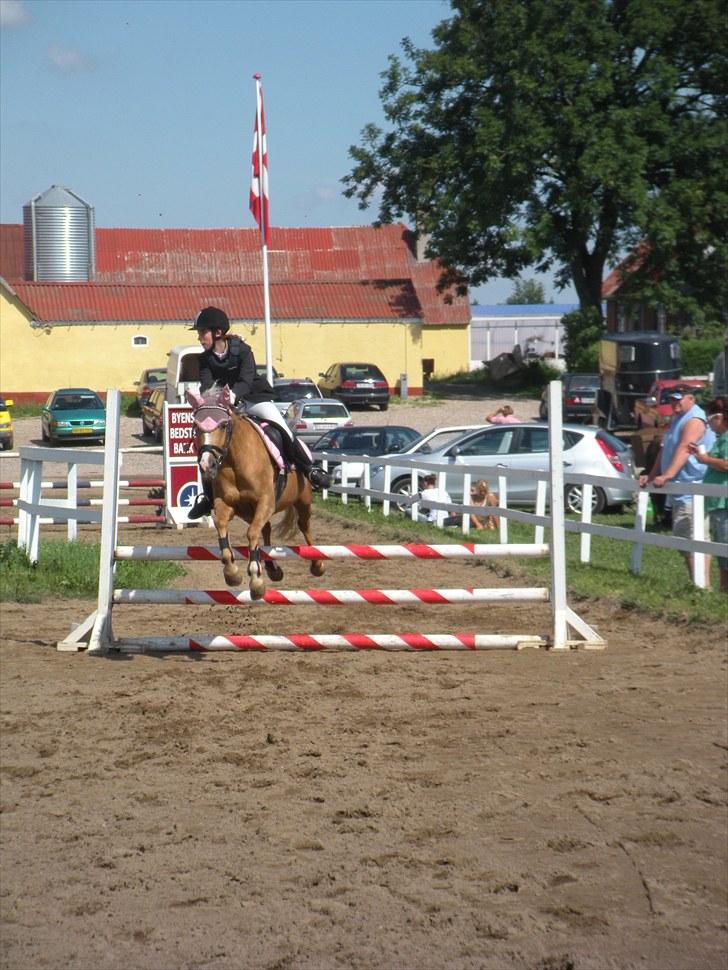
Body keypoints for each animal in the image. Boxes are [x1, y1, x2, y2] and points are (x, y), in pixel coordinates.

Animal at [186, 386, 326, 596]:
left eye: (224, 425)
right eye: (196, 427)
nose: (206, 465)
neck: (235, 460)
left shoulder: (266, 502)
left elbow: (252, 533)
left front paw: (256, 579)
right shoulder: (227, 504)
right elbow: (221, 525)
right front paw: (232, 572)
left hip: (303, 500)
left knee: (304, 526)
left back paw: (317, 564)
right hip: (249, 512)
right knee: (266, 528)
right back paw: (272, 568)